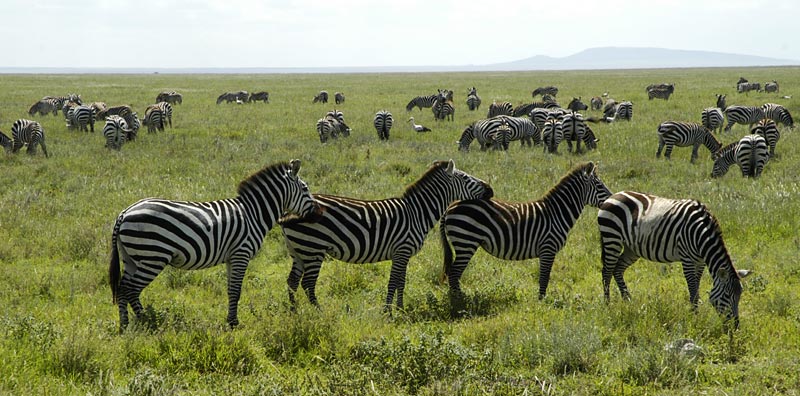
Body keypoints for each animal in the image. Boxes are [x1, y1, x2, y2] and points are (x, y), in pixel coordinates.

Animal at [110, 160, 322, 332]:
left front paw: (230, 320)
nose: (318, 213)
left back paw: (126, 325)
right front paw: (234, 323)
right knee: (131, 290)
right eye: (305, 189)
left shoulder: (231, 257)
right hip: (152, 256)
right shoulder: (241, 253)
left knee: (123, 288)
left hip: (132, 258)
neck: (254, 213)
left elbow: (231, 290)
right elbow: (236, 290)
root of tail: (125, 212)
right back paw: (146, 321)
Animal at [280, 159, 494, 310]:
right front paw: (387, 312)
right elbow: (393, 282)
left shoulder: (403, 254)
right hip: (313, 248)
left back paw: (294, 312)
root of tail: (288, 212)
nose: (490, 190)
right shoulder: (402, 250)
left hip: (298, 251)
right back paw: (318, 311)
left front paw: (400, 308)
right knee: (308, 283)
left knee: (292, 281)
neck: (417, 212)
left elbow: (401, 282)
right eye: (465, 178)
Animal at [440, 161, 608, 304]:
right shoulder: (548, 248)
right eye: (600, 185)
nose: (610, 200)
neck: (557, 213)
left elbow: (543, 277)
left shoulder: (546, 250)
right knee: (454, 274)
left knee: (453, 274)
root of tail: (450, 206)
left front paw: (540, 301)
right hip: (466, 242)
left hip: (464, 243)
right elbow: (544, 277)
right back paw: (459, 301)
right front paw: (541, 302)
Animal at [600, 190, 752, 326]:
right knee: (606, 272)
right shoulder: (687, 259)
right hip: (612, 237)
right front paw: (694, 318)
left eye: (740, 295)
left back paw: (628, 301)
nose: (735, 326)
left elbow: (697, 287)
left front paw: (695, 313)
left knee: (617, 270)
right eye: (727, 295)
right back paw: (608, 305)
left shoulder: (700, 262)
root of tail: (615, 195)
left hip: (631, 249)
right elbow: (693, 290)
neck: (701, 233)